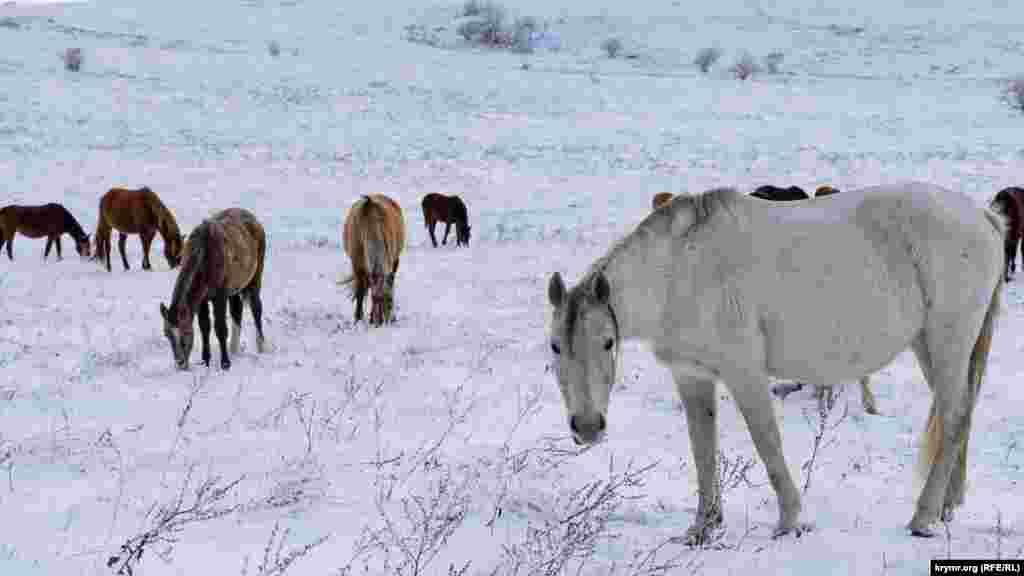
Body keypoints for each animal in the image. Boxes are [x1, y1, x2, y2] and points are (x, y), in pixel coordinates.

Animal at [339, 193, 403, 325]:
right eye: (377, 299)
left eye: (389, 300)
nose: (386, 321)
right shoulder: (357, 264)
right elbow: (360, 292)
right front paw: (358, 318)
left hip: (395, 260)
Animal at [548, 181, 1003, 541]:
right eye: (554, 347)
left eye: (608, 342)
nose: (587, 428)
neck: (680, 271)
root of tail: (983, 217)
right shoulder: (692, 377)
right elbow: (702, 449)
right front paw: (703, 527)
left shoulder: (744, 373)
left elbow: (766, 442)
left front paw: (788, 522)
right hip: (930, 347)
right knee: (961, 417)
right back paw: (946, 507)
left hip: (947, 341)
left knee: (955, 420)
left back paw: (923, 517)